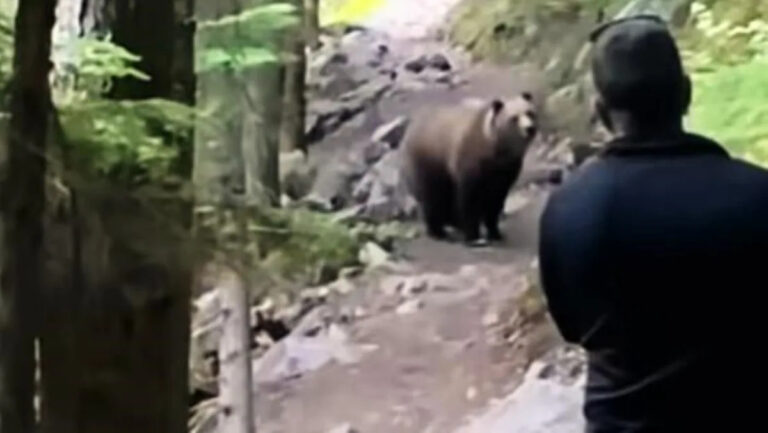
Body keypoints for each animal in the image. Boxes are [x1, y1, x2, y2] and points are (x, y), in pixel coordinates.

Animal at [400, 92, 538, 246]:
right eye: (514, 118)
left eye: (530, 113)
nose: (530, 129)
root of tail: (409, 129)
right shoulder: (470, 160)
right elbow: (469, 198)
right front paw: (473, 236)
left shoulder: (506, 169)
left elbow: (496, 200)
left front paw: (495, 232)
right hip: (428, 161)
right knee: (432, 196)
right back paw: (438, 232)